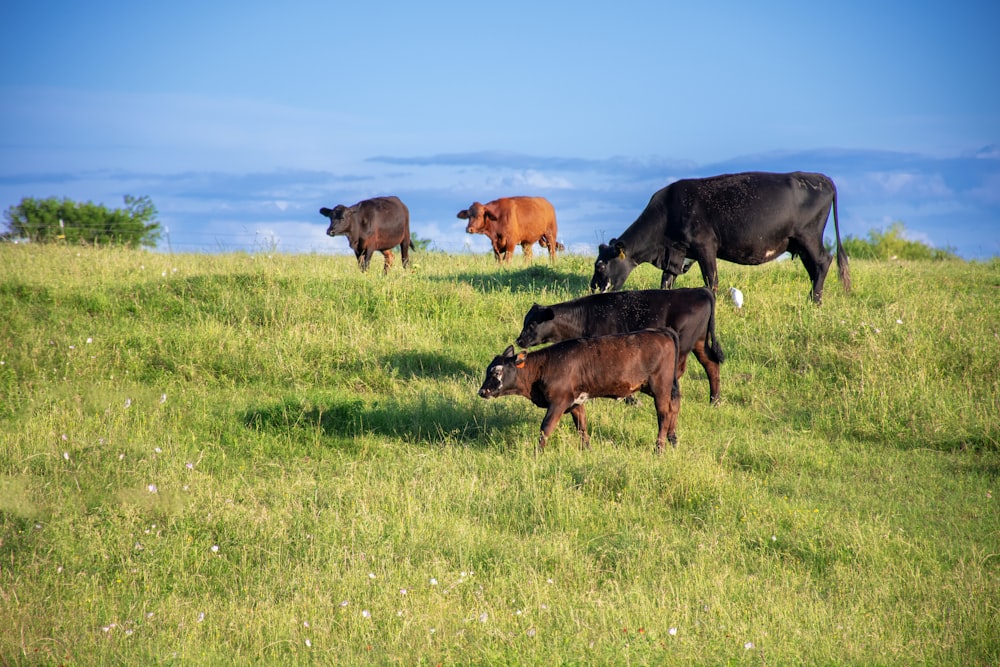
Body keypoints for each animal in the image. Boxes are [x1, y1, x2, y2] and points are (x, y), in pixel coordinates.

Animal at [474, 328, 680, 454]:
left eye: (497, 371)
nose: (482, 391)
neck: (543, 366)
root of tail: (661, 332)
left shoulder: (558, 402)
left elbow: (545, 428)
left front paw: (537, 452)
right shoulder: (576, 403)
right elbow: (582, 427)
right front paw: (588, 450)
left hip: (660, 387)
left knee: (663, 414)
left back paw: (659, 448)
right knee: (673, 408)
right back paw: (672, 440)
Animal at [520, 286, 724, 402]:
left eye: (532, 324)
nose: (519, 340)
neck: (586, 316)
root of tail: (700, 290)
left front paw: (629, 399)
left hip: (684, 344)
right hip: (699, 342)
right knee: (711, 364)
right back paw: (714, 400)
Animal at [588, 171, 856, 304]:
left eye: (600, 266)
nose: (591, 288)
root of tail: (821, 178)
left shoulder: (705, 245)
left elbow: (711, 279)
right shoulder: (678, 251)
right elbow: (666, 280)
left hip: (809, 236)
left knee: (823, 261)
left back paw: (816, 301)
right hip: (799, 242)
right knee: (815, 267)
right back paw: (812, 297)